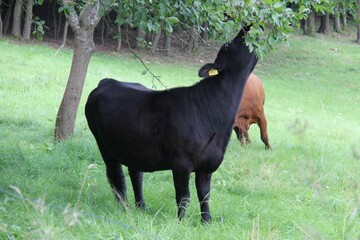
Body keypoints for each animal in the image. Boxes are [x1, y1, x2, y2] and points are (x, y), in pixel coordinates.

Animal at [85, 25, 258, 222]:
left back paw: (141, 207)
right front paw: (181, 221)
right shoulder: (181, 163)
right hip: (103, 144)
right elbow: (184, 196)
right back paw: (125, 209)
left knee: (136, 174)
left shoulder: (208, 165)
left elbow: (204, 195)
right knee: (116, 176)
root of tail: (108, 81)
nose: (246, 27)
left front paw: (206, 221)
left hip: (132, 144)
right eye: (227, 45)